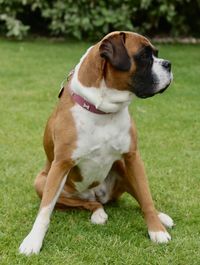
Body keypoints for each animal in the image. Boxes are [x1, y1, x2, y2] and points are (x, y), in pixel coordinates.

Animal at [19, 31, 174, 254]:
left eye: (156, 53)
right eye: (144, 56)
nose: (168, 64)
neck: (102, 111)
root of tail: (97, 195)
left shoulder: (133, 158)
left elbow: (146, 198)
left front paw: (156, 230)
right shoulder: (60, 165)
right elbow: (45, 210)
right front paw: (33, 240)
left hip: (123, 168)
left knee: (138, 196)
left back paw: (162, 217)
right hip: (41, 181)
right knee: (88, 204)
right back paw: (98, 213)